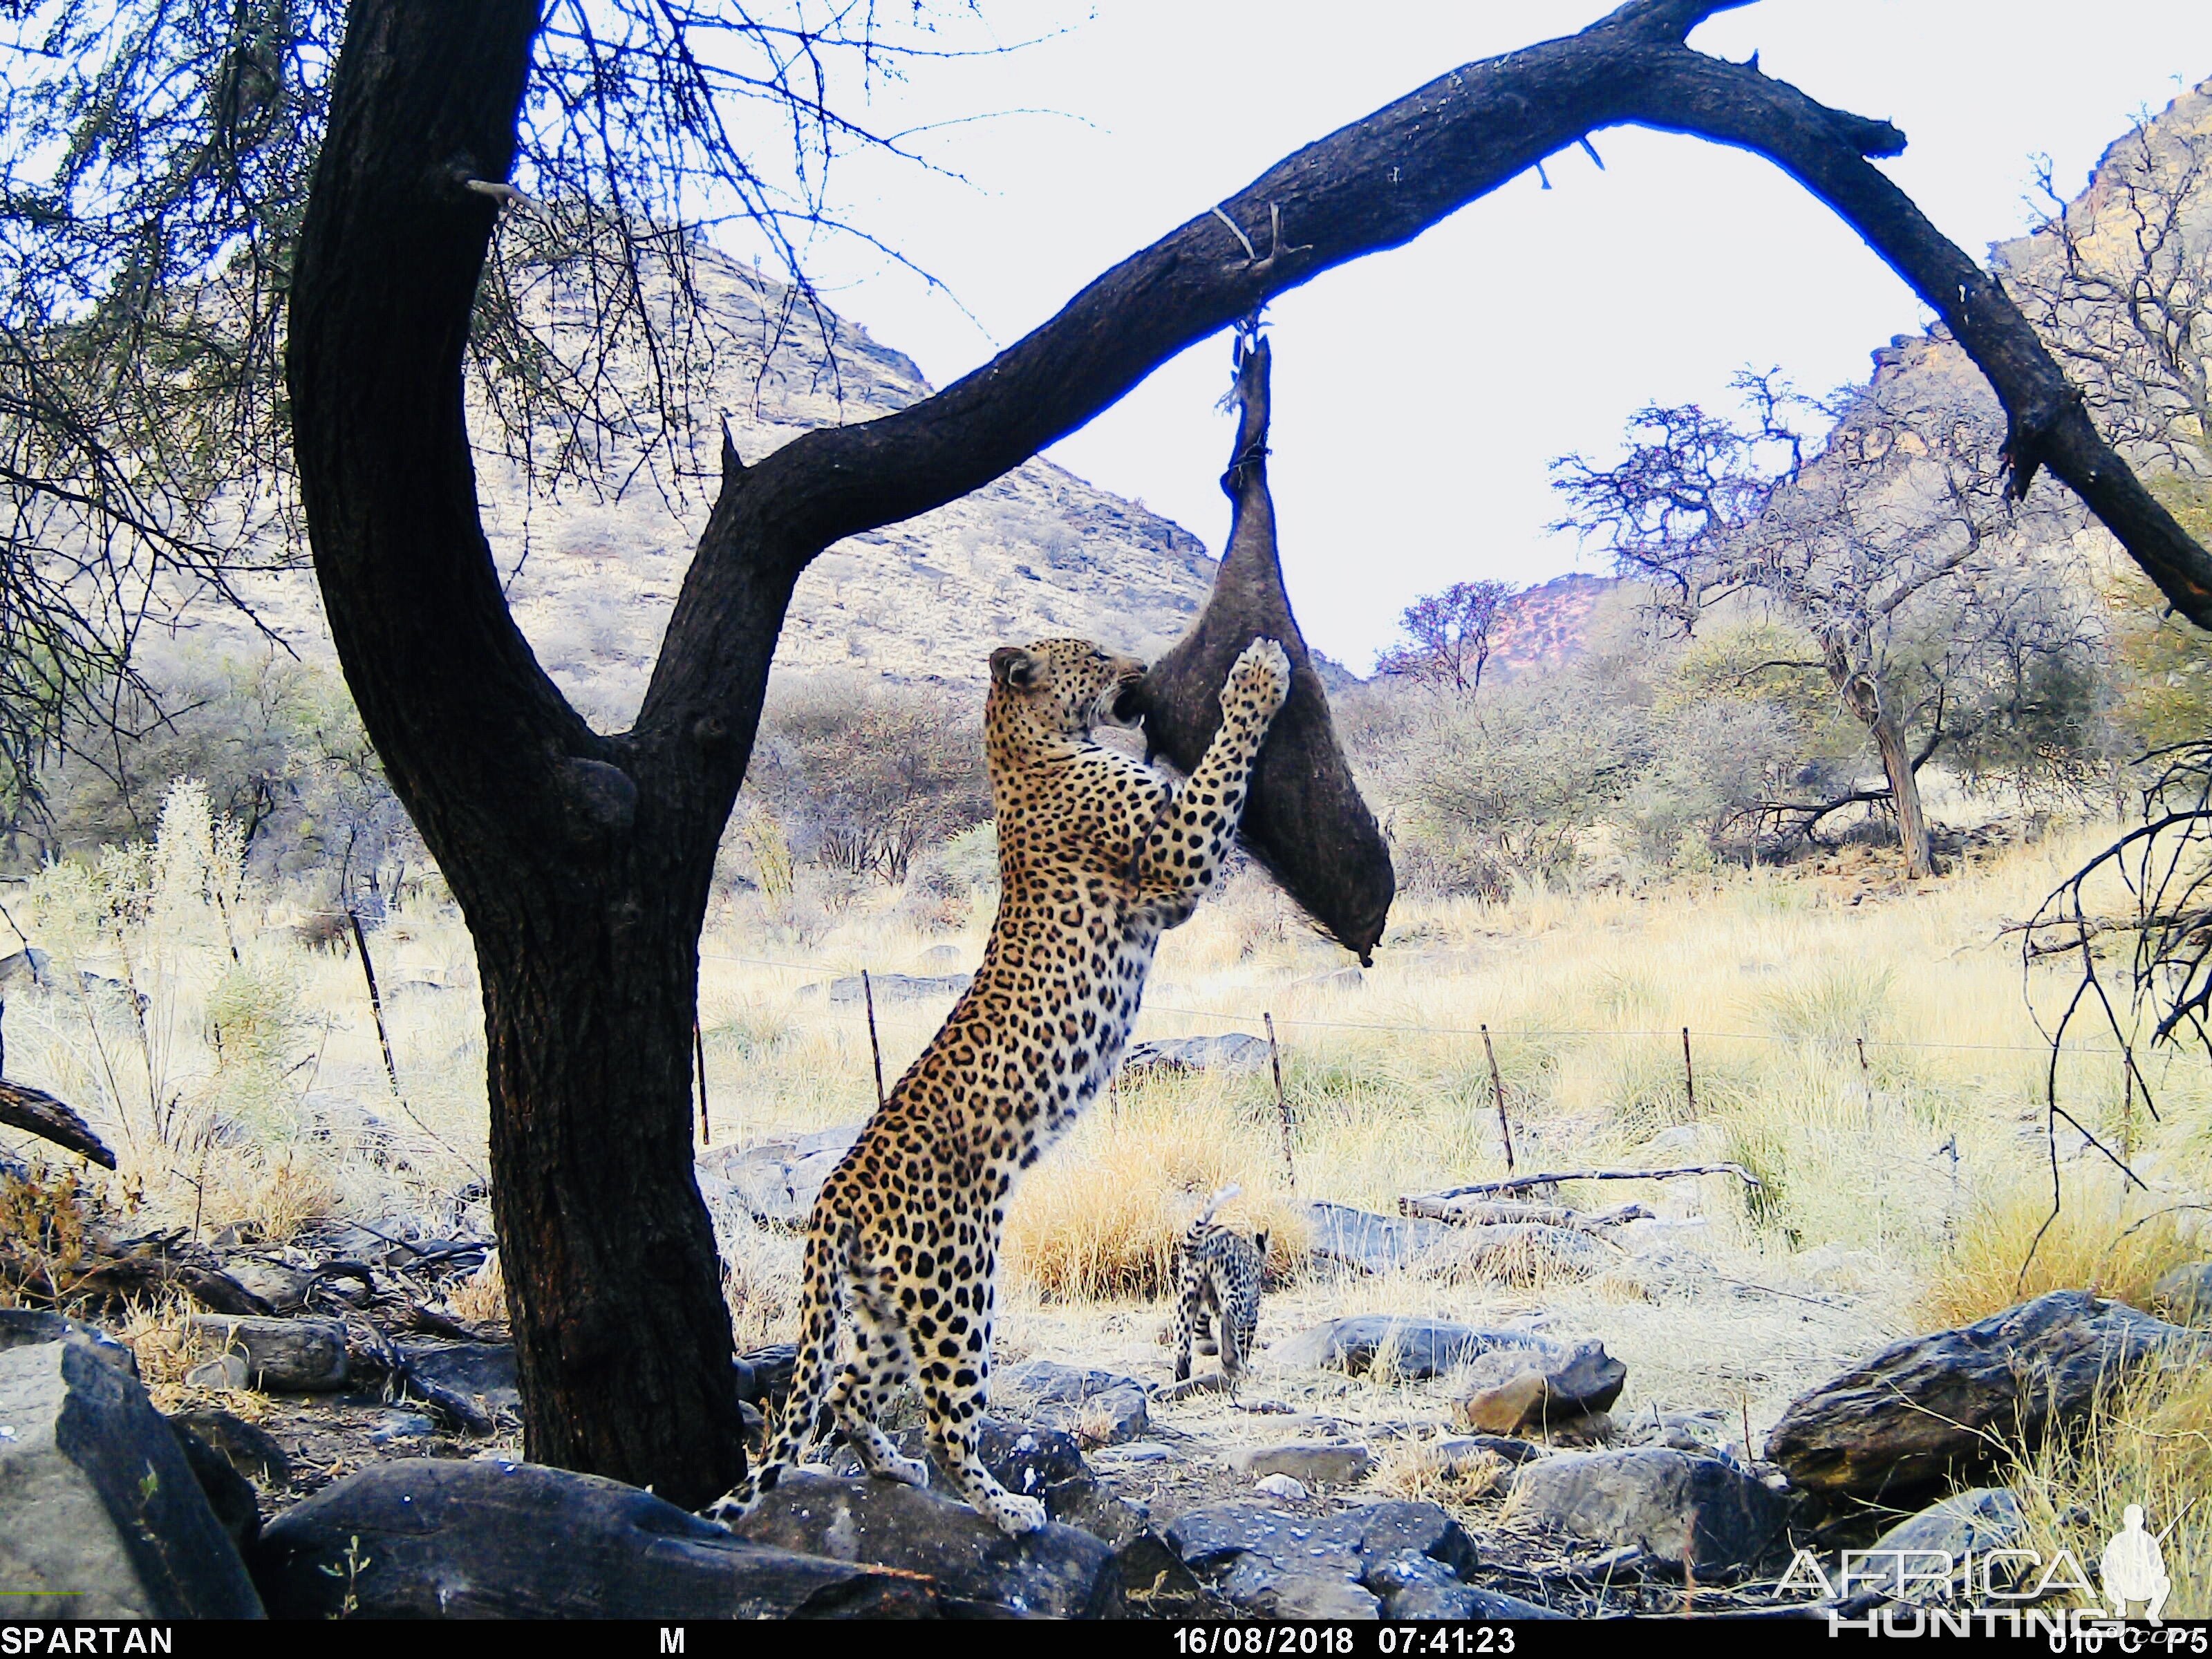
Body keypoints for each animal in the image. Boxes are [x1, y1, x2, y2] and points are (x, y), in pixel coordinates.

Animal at [1168, 1185, 1274, 1389]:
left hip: (1186, 1298)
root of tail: (1204, 1244)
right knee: (1228, 1317)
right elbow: (1244, 1341)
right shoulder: (1252, 1312)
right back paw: (1232, 1363)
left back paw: (1180, 1381)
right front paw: (1244, 1365)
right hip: (1237, 1294)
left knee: (1182, 1348)